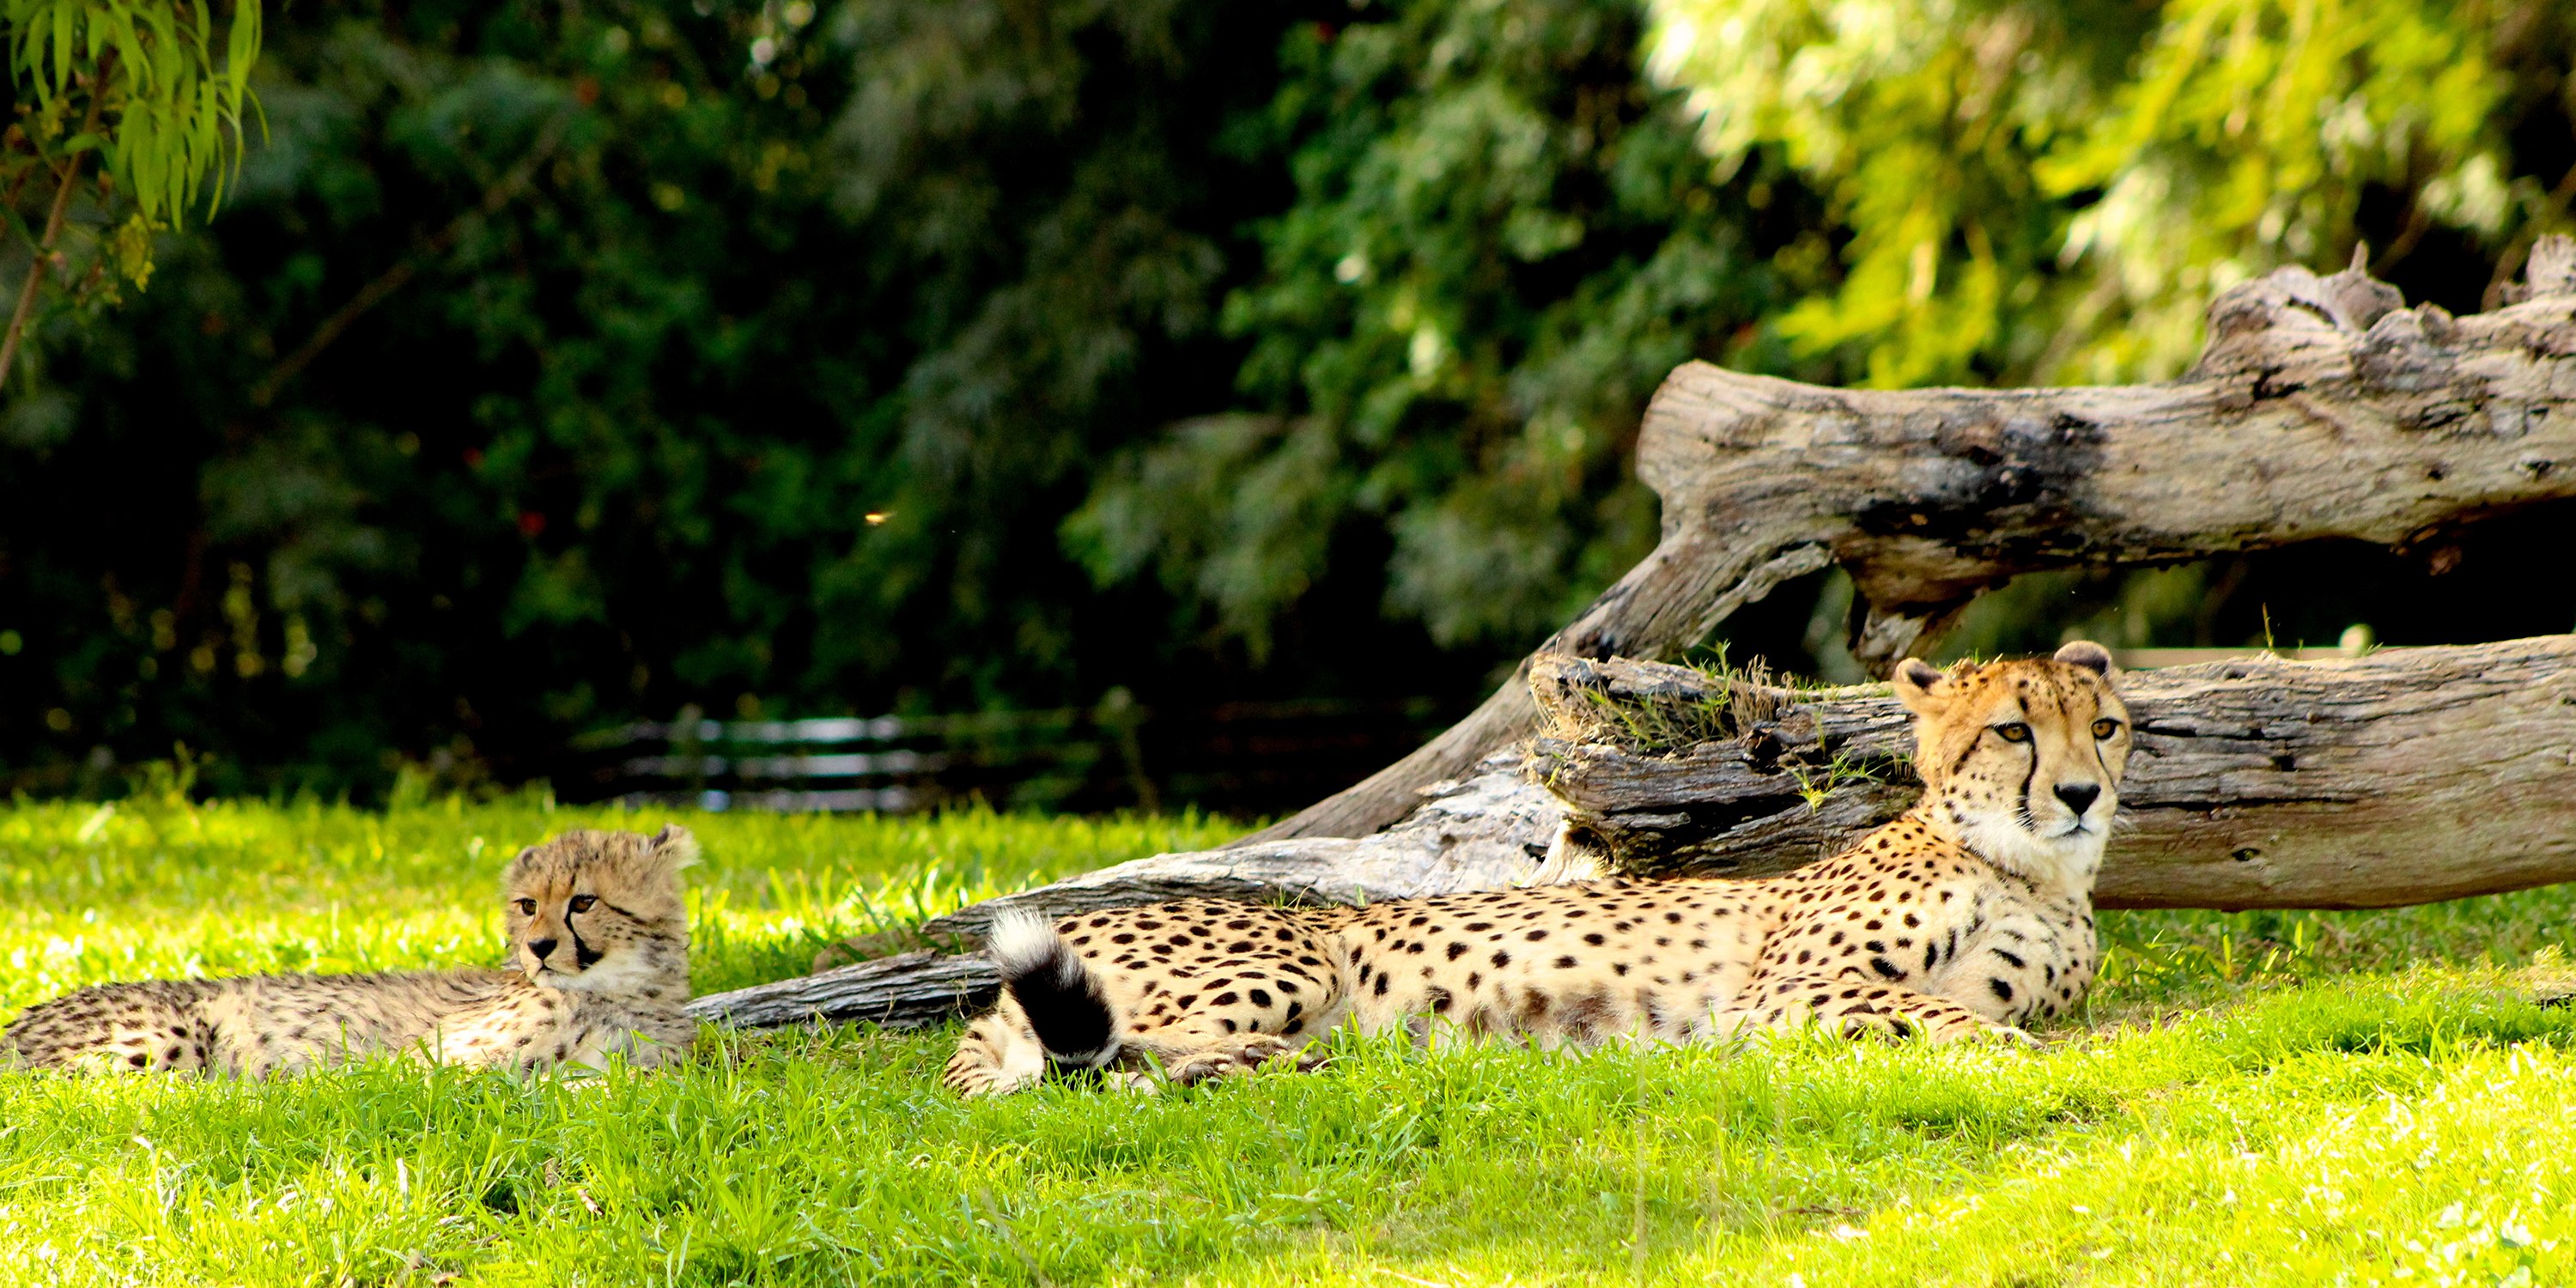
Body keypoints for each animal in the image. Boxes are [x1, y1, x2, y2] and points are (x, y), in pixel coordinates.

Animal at [0, 824, 701, 1077]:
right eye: (529, 905)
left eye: (583, 902)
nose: (539, 948)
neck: (617, 991)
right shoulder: (439, 1069)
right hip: (166, 1039)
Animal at [948, 644, 2133, 1097]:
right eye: (2015, 731)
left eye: (2108, 726)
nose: (2084, 795)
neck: (2030, 870)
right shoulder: (1788, 991)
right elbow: (1949, 1018)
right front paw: (2030, 1059)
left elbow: (1966, 1011)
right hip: (1293, 959)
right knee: (1121, 1056)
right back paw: (1295, 1062)